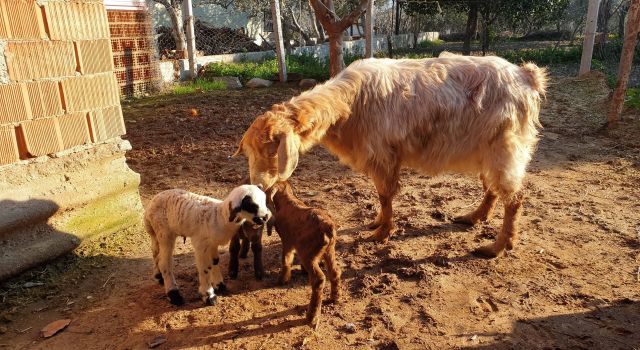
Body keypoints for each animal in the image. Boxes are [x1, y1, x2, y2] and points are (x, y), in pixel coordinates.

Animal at [232, 53, 548, 258]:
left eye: (273, 147)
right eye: (248, 150)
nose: (257, 183)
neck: (351, 103)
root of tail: (526, 76)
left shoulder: (383, 156)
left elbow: (386, 195)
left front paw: (381, 234)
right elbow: (382, 197)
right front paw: (377, 223)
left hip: (506, 148)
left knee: (514, 198)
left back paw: (496, 247)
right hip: (487, 150)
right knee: (493, 188)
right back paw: (473, 217)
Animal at [264, 180, 342, 328]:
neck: (288, 200)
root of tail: (327, 227)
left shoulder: (287, 241)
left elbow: (286, 260)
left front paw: (282, 280)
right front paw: (302, 270)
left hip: (309, 254)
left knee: (319, 279)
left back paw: (311, 317)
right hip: (329, 250)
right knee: (335, 271)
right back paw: (335, 298)